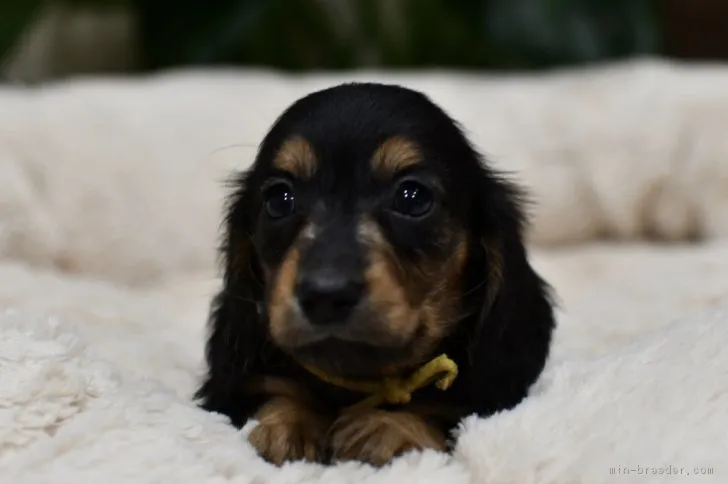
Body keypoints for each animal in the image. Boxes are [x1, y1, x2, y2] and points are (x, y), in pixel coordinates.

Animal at [196, 82, 556, 466]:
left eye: (413, 197)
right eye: (279, 199)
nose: (325, 295)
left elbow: (436, 412)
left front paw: (390, 427)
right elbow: (278, 393)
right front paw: (287, 424)